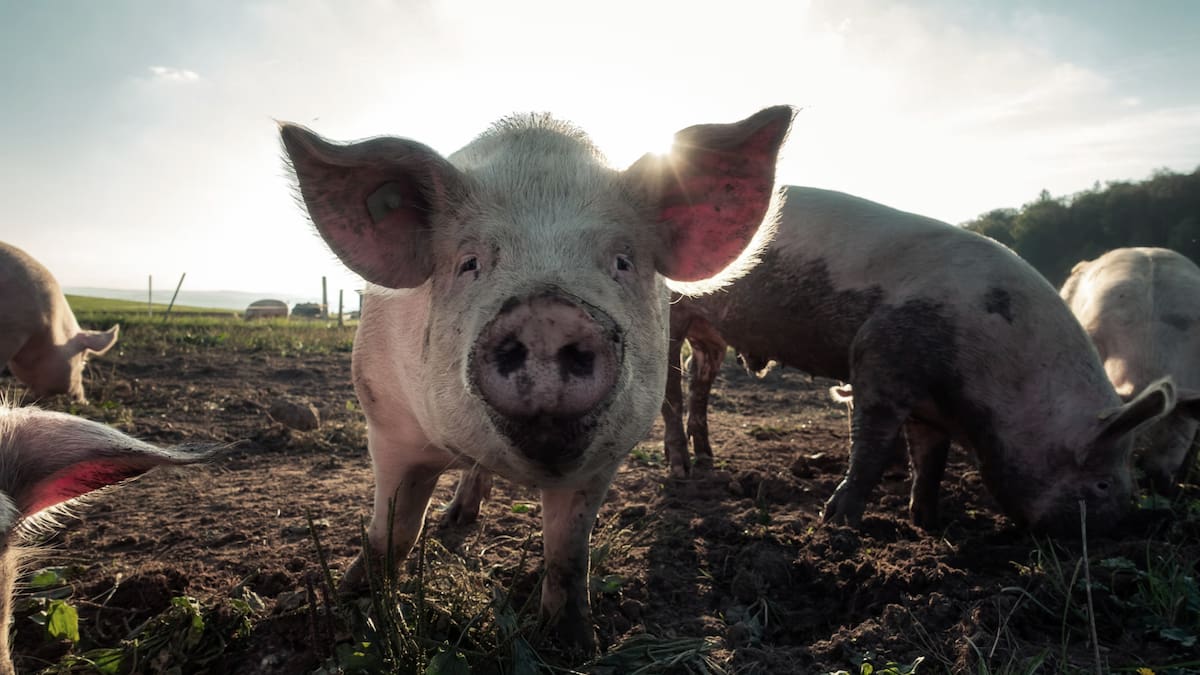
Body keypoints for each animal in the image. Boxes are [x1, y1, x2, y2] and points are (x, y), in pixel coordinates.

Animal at [280, 106, 794, 652]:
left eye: (622, 261)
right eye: (469, 262)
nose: (548, 314)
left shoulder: (606, 457)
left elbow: (568, 552)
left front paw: (573, 643)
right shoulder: (387, 419)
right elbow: (393, 531)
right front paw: (353, 607)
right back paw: (455, 521)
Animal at [660, 186, 1179, 533]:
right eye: (1102, 484)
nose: (1123, 529)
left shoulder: (932, 408)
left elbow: (931, 460)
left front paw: (930, 522)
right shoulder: (880, 358)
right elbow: (870, 446)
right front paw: (837, 524)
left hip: (711, 335)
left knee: (697, 383)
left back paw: (707, 460)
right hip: (672, 312)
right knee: (669, 388)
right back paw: (681, 469)